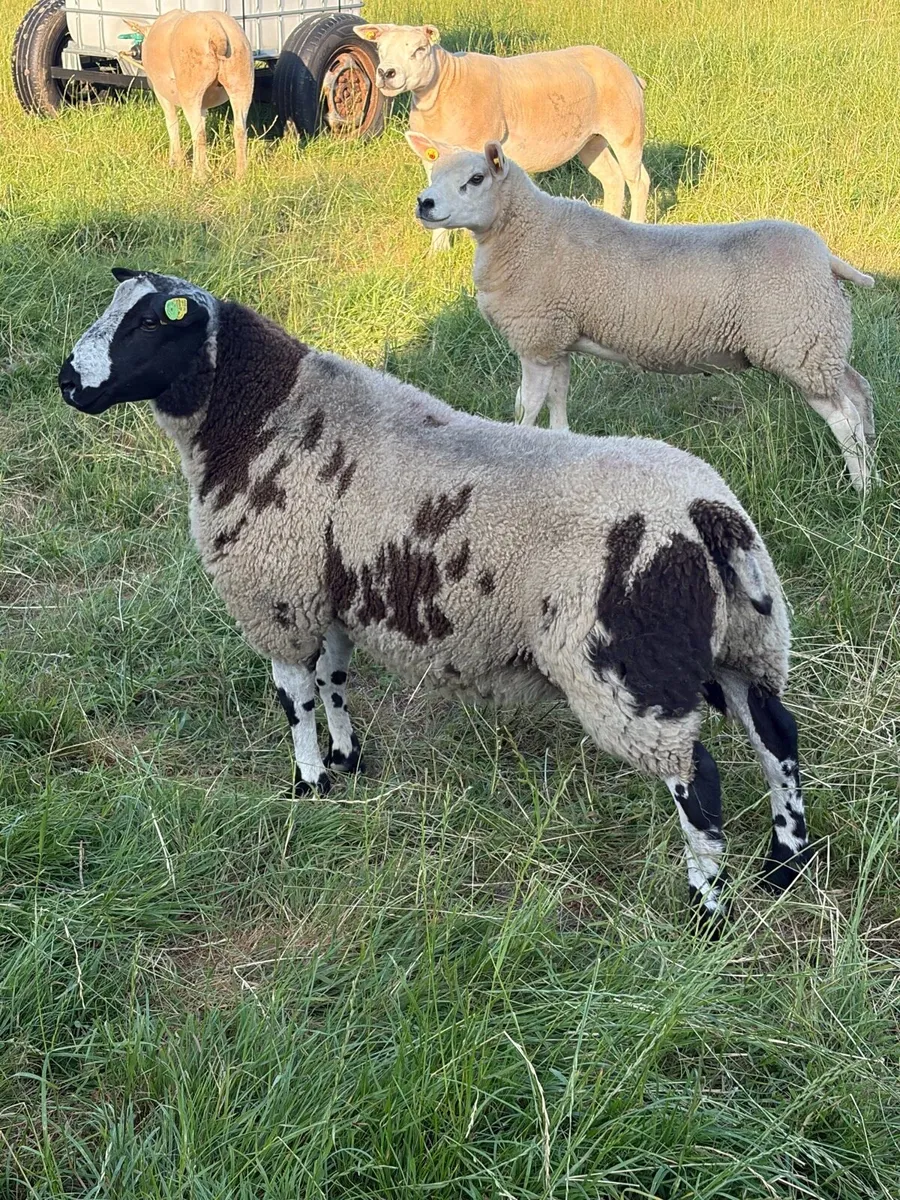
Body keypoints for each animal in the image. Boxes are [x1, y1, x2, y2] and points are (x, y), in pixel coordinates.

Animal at [59, 268, 813, 924]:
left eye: (150, 322)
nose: (67, 381)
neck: (259, 415)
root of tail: (705, 513)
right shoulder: (331, 592)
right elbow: (334, 680)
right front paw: (347, 760)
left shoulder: (277, 598)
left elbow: (294, 698)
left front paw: (310, 783)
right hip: (746, 643)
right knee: (776, 736)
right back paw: (784, 864)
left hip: (632, 675)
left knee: (699, 782)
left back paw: (707, 907)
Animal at [122, 11, 253, 179]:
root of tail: (215, 28)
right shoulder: (204, 103)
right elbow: (202, 120)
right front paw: (206, 166)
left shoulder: (161, 93)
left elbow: (172, 124)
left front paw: (175, 162)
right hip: (241, 78)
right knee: (239, 130)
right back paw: (241, 176)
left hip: (190, 87)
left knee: (199, 133)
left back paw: (199, 177)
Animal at [353, 22, 649, 251]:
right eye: (380, 50)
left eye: (419, 50)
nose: (386, 73)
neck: (445, 86)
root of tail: (627, 69)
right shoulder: (431, 159)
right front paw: (438, 251)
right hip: (591, 140)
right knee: (613, 178)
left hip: (626, 128)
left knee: (638, 181)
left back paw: (637, 224)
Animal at [409, 137, 877, 492]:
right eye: (432, 173)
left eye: (476, 179)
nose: (424, 204)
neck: (527, 232)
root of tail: (825, 257)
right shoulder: (558, 338)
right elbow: (558, 400)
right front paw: (560, 445)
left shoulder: (536, 339)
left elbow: (527, 407)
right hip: (821, 343)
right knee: (859, 393)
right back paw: (873, 464)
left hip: (798, 345)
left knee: (845, 418)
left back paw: (860, 488)